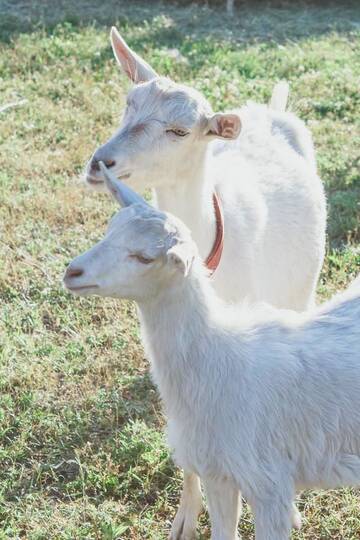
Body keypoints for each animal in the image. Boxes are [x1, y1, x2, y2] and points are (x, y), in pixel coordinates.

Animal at [64, 168, 360, 540]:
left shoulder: (269, 483)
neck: (215, 359)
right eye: (109, 229)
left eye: (144, 257)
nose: (72, 272)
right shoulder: (217, 472)